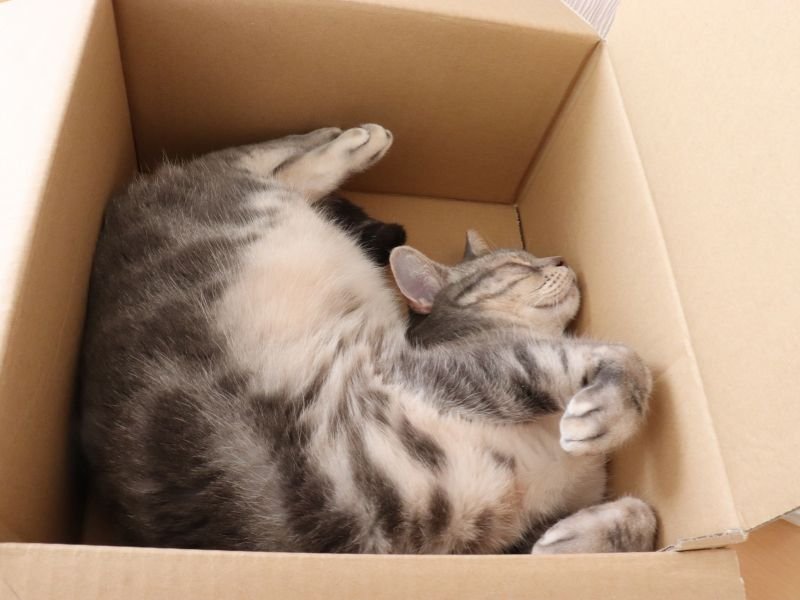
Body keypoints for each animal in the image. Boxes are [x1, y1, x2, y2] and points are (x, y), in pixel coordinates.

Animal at [79, 125, 656, 552]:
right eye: (519, 264)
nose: (559, 259)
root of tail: (120, 205)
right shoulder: (449, 371)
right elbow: (624, 360)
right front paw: (604, 410)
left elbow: (642, 517)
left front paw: (578, 536)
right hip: (241, 195)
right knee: (241, 157)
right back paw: (355, 138)